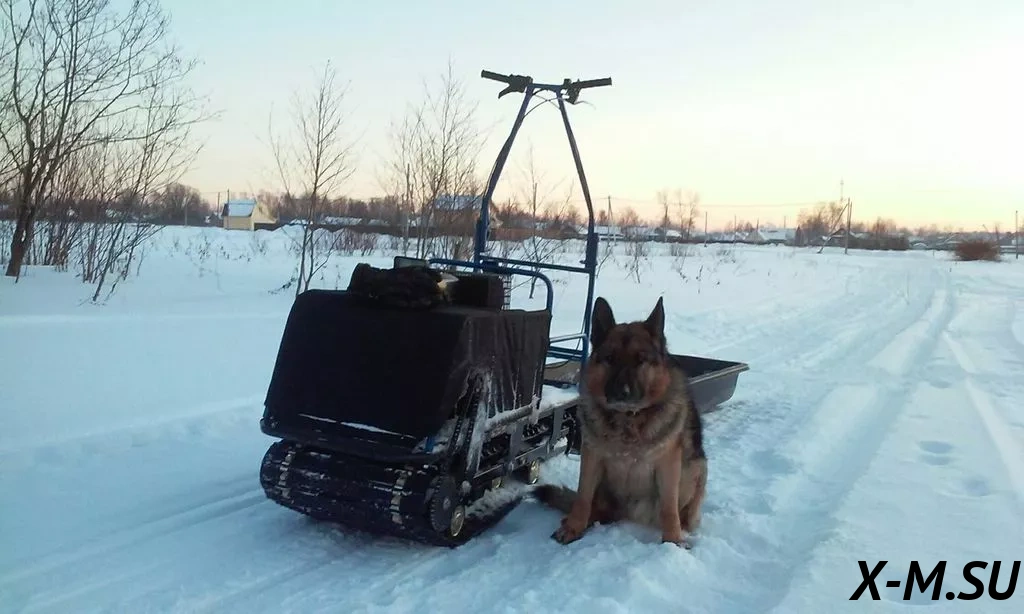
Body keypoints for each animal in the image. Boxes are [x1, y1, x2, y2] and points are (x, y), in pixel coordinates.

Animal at [533, 296, 707, 547]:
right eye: (610, 359)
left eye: (640, 361)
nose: (621, 393)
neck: (628, 420)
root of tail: (628, 513)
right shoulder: (592, 457)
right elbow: (582, 497)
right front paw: (573, 527)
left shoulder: (668, 464)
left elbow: (669, 507)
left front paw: (673, 540)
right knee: (593, 506)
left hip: (697, 468)